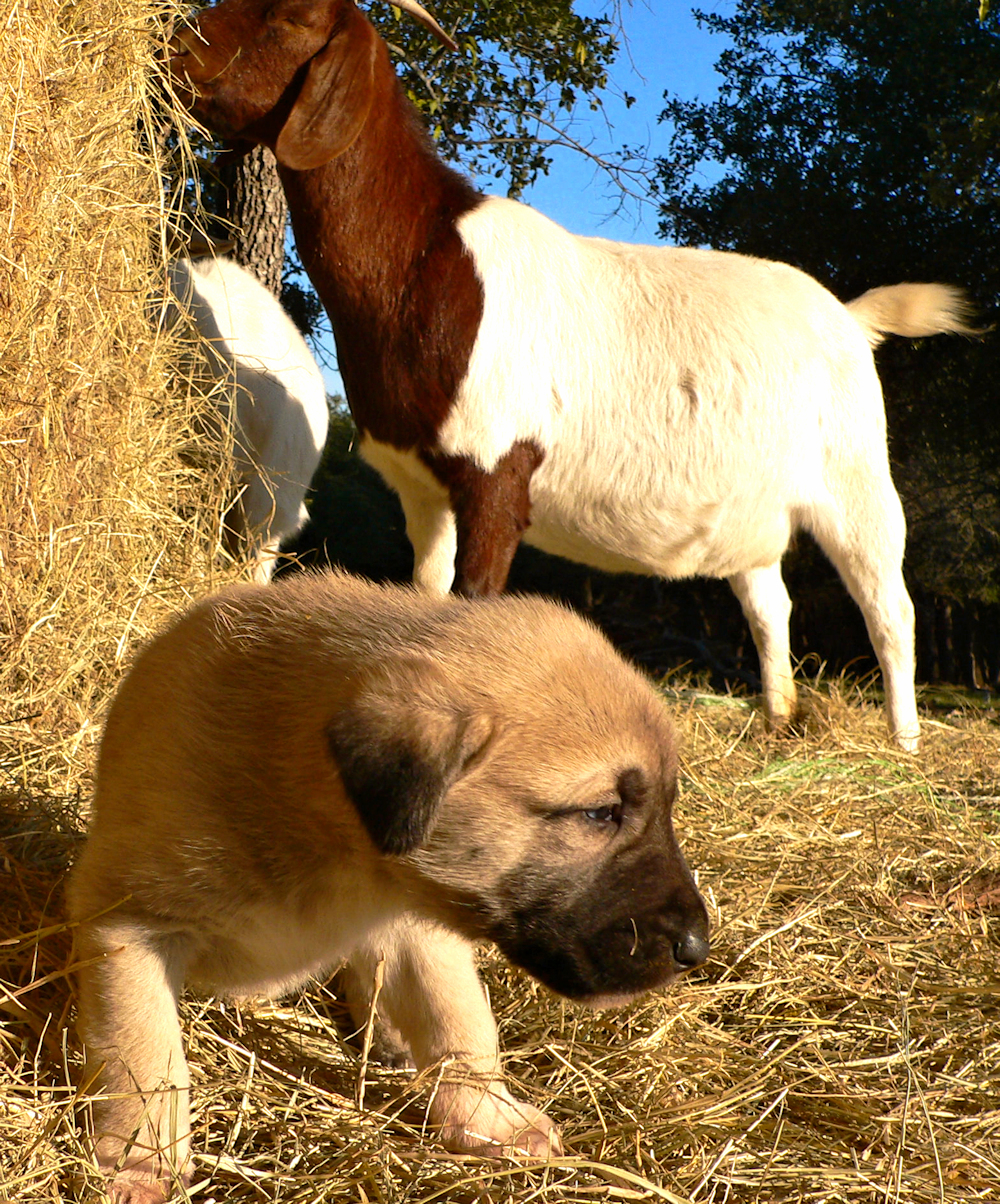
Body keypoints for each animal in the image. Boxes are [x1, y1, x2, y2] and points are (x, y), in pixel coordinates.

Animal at [68, 570, 712, 1194]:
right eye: (602, 813)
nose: (697, 949)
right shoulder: (129, 923)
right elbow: (145, 1056)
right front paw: (143, 1163)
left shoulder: (415, 925)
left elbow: (458, 1019)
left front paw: (491, 1118)